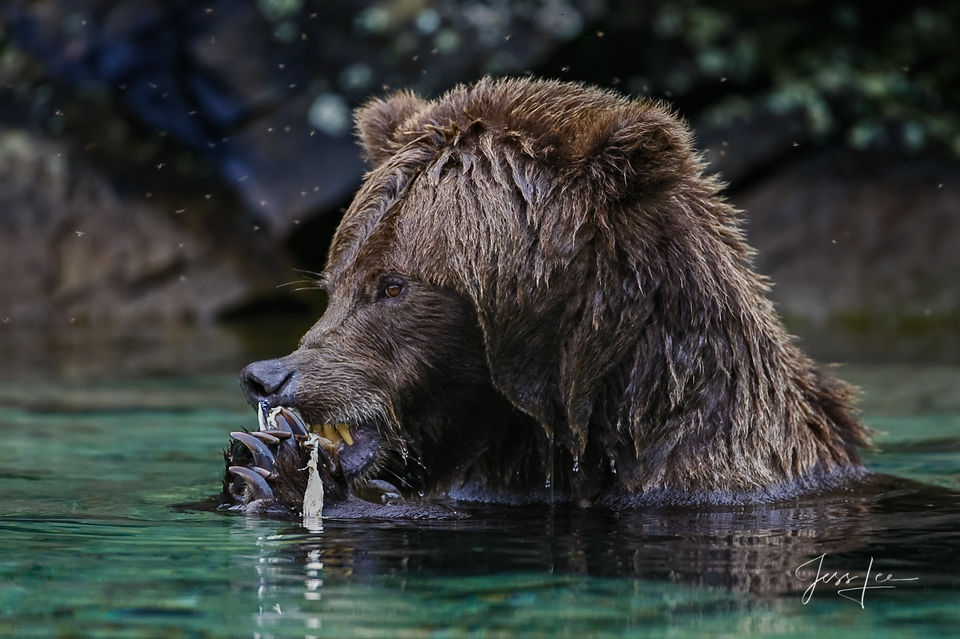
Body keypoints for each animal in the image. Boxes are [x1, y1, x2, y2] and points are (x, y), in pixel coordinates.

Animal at [221, 76, 868, 516]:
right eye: (336, 281)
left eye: (393, 284)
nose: (267, 376)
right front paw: (254, 457)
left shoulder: (711, 477)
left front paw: (280, 469)